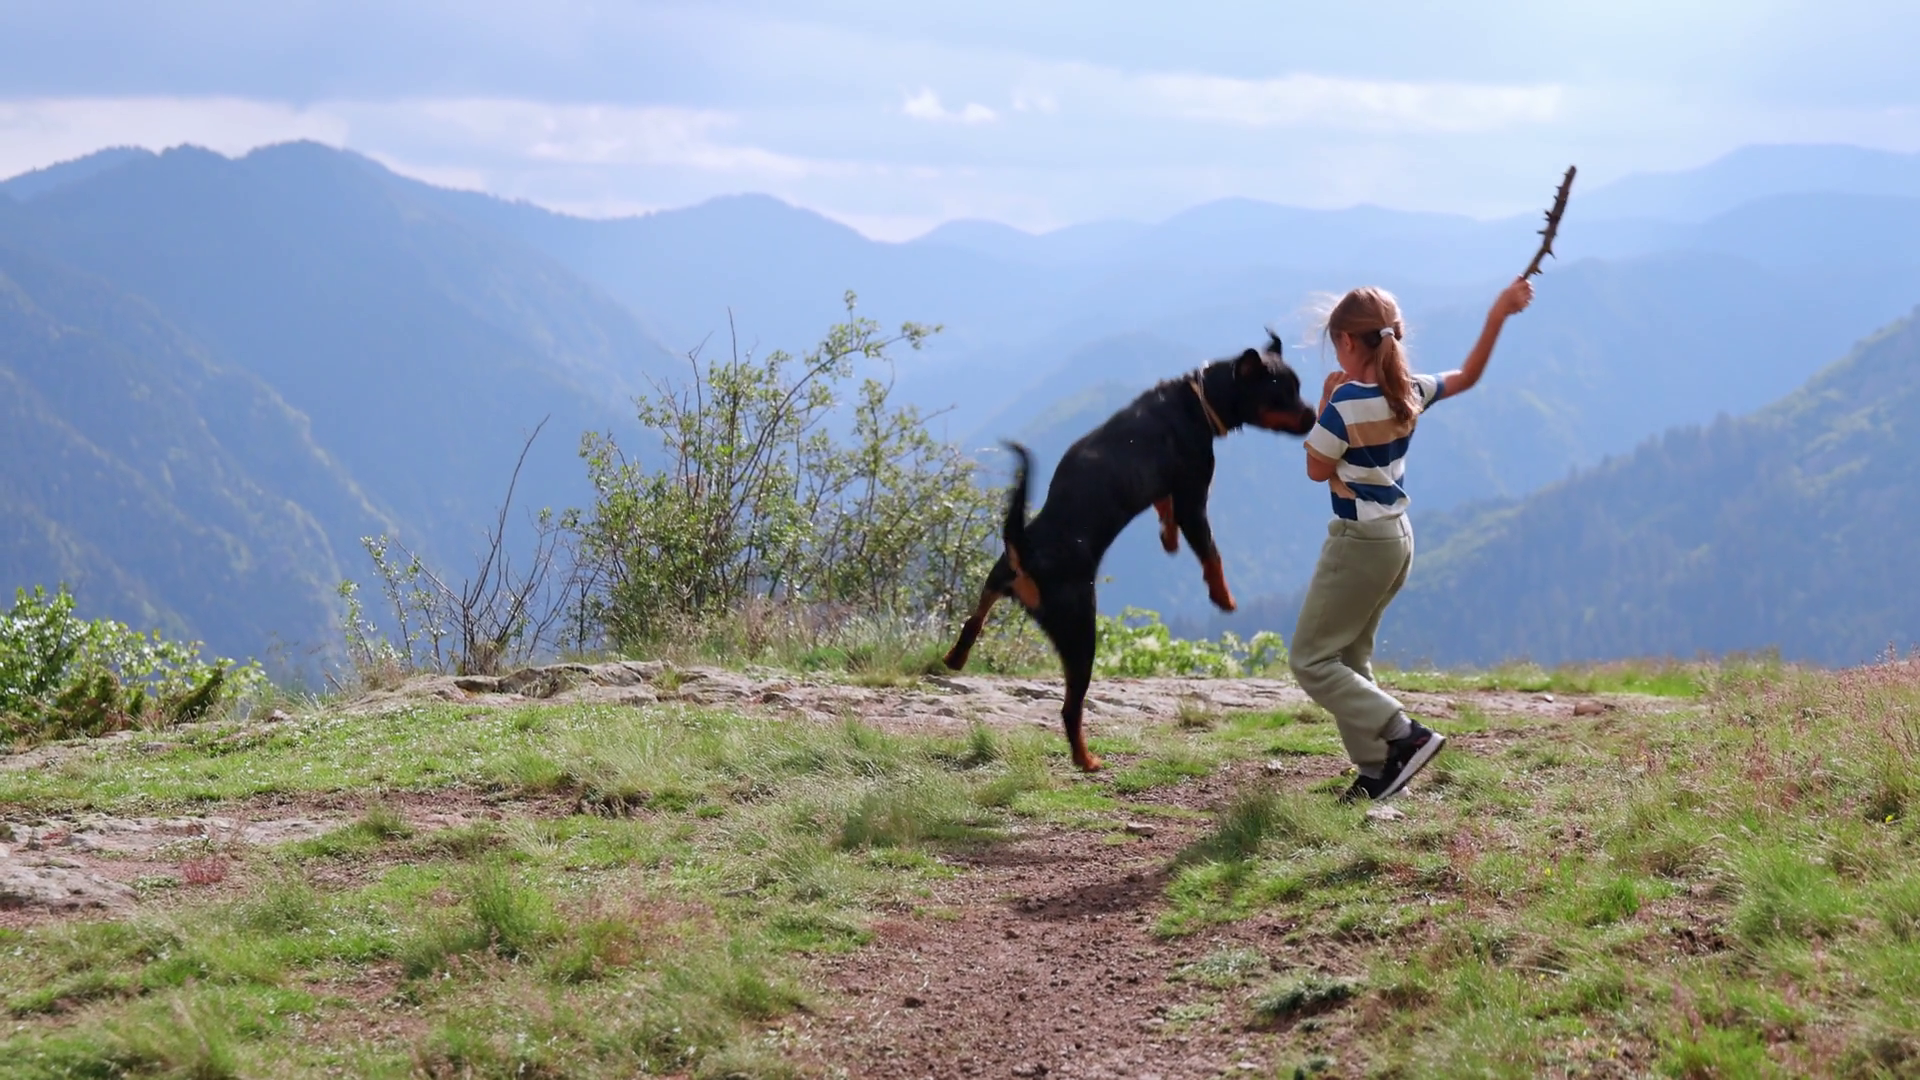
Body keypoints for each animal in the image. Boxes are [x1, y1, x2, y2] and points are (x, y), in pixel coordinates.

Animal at [942, 333, 1317, 771]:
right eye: (1282, 395)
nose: (1313, 416)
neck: (1197, 399)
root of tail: (1026, 549)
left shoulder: (1166, 491)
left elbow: (1165, 512)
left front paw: (1168, 541)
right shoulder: (1193, 497)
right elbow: (1210, 552)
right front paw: (1223, 597)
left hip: (998, 578)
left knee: (974, 619)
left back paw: (955, 658)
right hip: (1080, 632)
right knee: (1070, 708)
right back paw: (1086, 759)